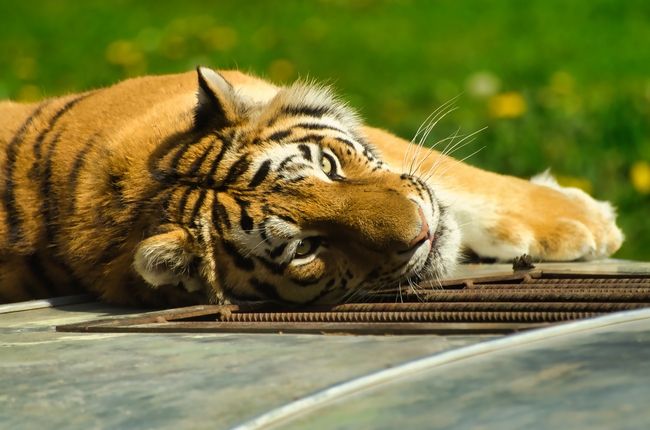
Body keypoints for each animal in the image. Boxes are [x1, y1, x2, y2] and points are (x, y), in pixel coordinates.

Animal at [0, 67, 623, 307]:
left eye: (327, 164)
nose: (422, 233)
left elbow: (449, 172)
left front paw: (581, 219)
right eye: (304, 248)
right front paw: (586, 223)